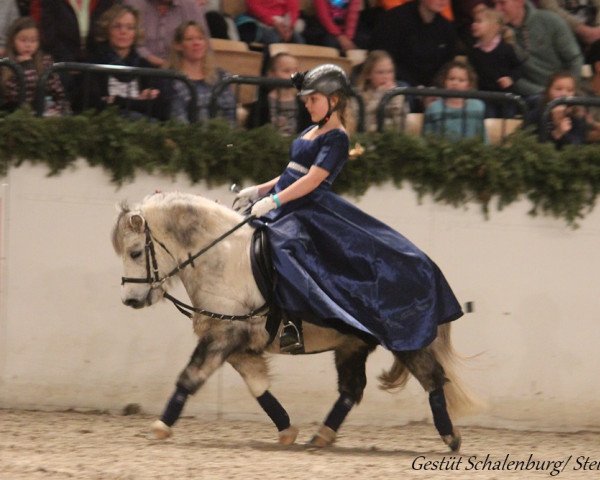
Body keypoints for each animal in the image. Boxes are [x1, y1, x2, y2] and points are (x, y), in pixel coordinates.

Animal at [112, 190, 476, 450]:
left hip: (404, 341)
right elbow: (258, 386)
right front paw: (287, 430)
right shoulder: (235, 342)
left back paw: (451, 438)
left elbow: (188, 378)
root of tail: (427, 264)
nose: (130, 301)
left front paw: (161, 426)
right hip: (352, 345)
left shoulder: (223, 336)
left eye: (135, 252)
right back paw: (322, 436)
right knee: (351, 390)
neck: (223, 258)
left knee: (433, 378)